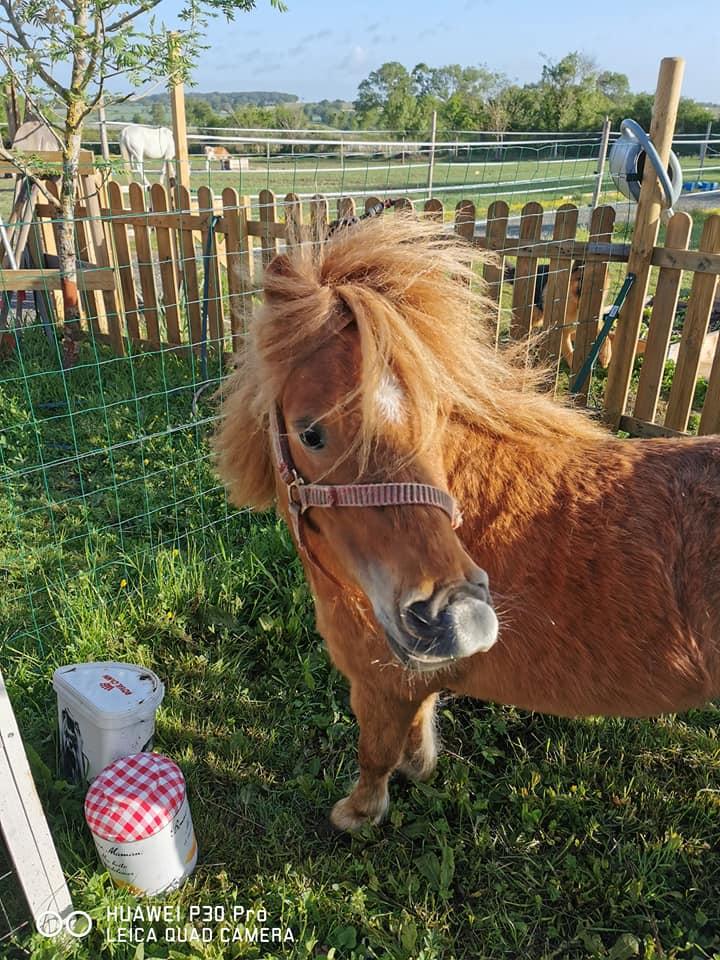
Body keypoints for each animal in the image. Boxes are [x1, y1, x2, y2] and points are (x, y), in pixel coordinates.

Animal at [214, 214, 720, 828]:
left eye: (433, 417)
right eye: (311, 432)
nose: (459, 618)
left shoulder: (377, 686)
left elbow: (373, 755)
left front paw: (358, 813)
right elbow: (415, 731)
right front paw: (417, 766)